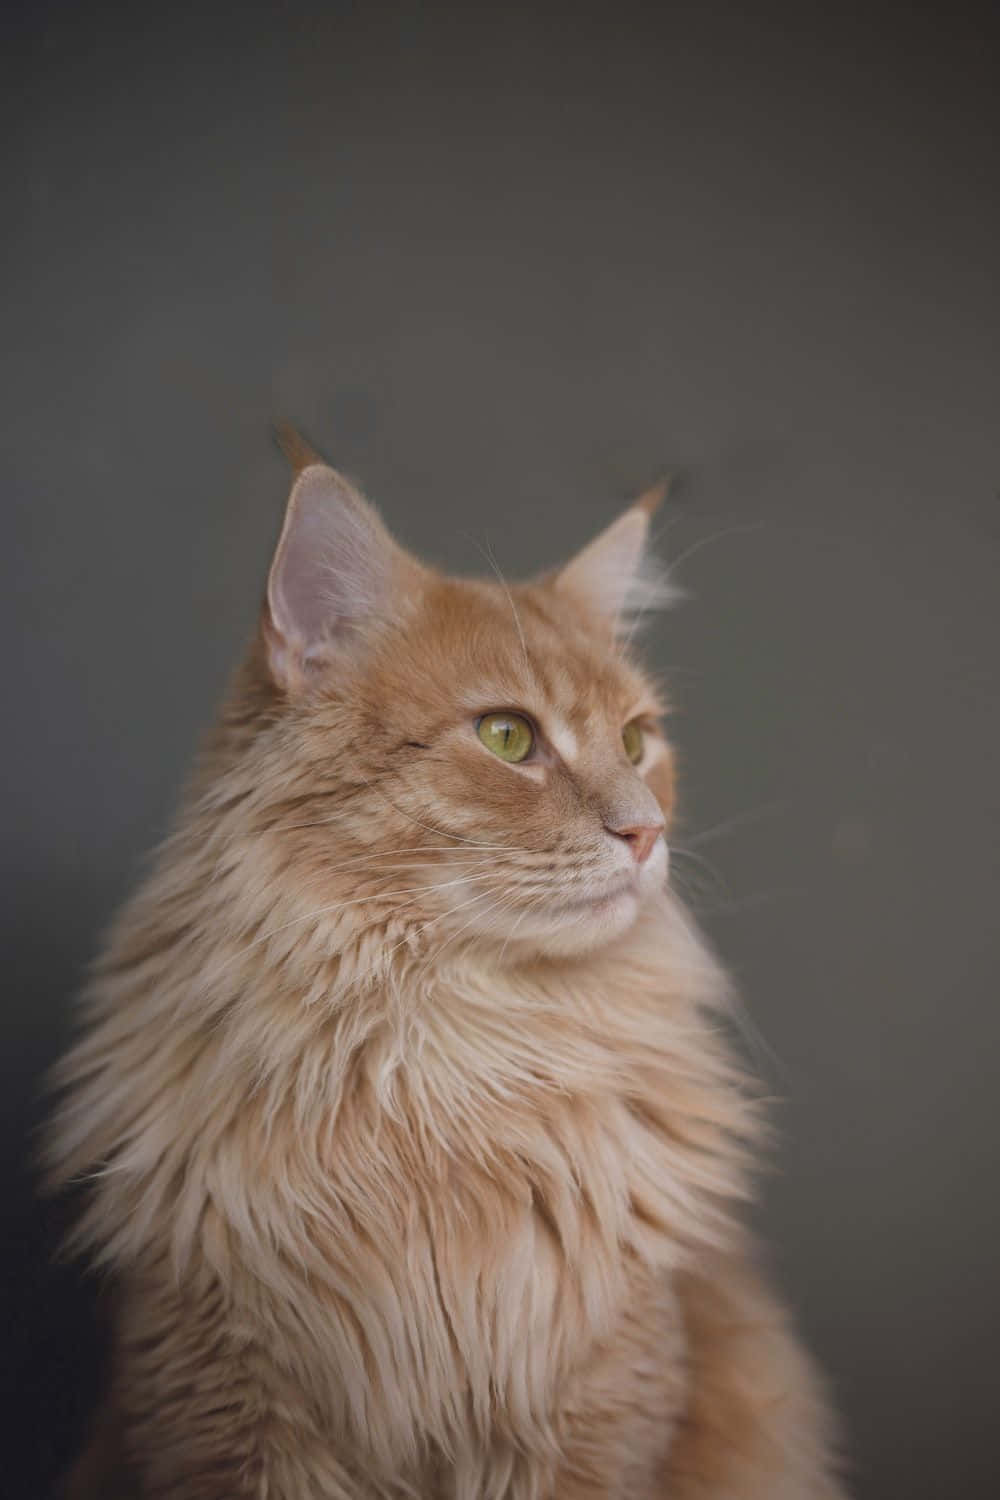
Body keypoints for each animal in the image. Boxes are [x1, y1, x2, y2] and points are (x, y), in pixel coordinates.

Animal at [44, 429, 845, 1494]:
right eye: (508, 737)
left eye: (638, 740)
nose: (647, 832)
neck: (447, 1070)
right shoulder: (221, 1403)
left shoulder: (600, 1405)